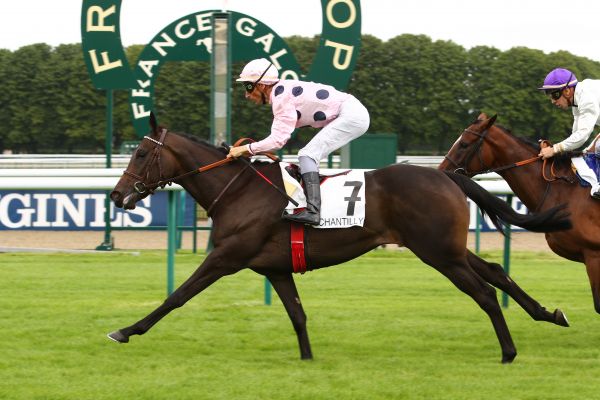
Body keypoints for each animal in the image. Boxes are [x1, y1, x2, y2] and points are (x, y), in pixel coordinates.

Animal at [108, 113, 572, 362]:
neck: (239, 191)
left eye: (142, 153)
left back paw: (509, 351)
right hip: (447, 248)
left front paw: (126, 330)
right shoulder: (274, 268)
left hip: (439, 253)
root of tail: (446, 176)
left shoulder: (226, 256)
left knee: (485, 293)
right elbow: (297, 315)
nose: (116, 194)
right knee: (495, 271)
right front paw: (308, 357)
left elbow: (177, 295)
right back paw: (549, 314)